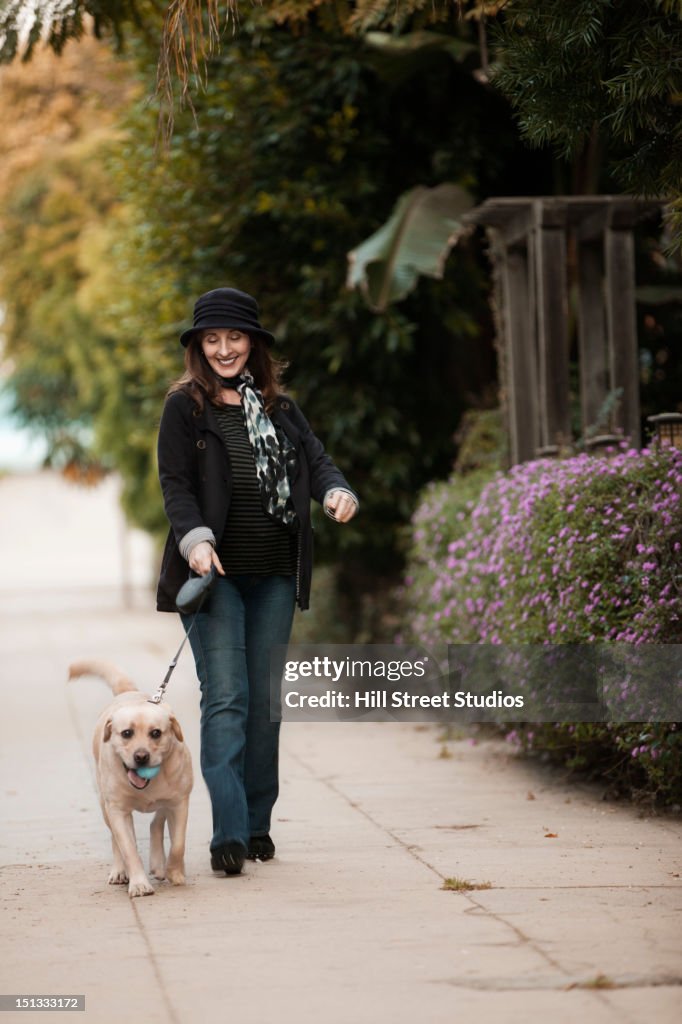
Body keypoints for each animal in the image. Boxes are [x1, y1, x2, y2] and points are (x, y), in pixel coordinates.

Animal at [68, 663, 192, 897]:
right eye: (126, 733)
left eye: (156, 733)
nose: (141, 756)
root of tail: (128, 692)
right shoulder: (117, 810)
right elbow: (128, 848)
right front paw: (139, 883)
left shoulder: (180, 802)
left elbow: (178, 843)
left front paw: (175, 872)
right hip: (105, 805)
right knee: (117, 839)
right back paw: (119, 871)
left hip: (168, 800)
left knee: (156, 822)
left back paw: (159, 864)